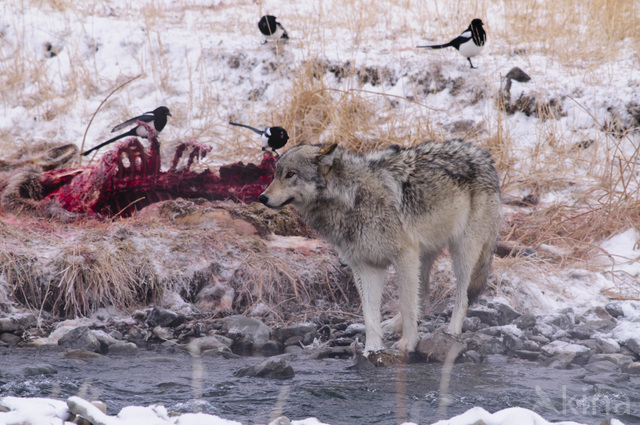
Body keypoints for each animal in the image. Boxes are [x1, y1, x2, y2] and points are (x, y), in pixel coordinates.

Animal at [258, 141, 502, 352]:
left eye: (291, 175)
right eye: (275, 174)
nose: (261, 197)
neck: (351, 198)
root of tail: (484, 156)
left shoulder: (404, 257)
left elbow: (406, 304)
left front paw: (408, 343)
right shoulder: (365, 266)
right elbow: (370, 315)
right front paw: (371, 350)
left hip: (462, 253)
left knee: (462, 297)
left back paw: (451, 332)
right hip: (424, 254)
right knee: (423, 292)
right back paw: (393, 325)